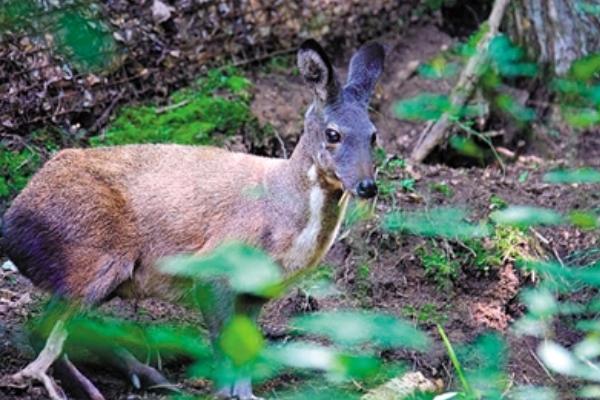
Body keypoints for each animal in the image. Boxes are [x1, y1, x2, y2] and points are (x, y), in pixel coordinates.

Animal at [1, 38, 384, 400]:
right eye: (333, 133)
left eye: (373, 134)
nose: (367, 186)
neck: (281, 219)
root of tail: (11, 223)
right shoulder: (214, 266)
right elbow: (221, 344)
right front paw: (223, 392)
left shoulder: (257, 289)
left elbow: (247, 350)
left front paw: (247, 394)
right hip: (96, 255)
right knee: (42, 330)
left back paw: (147, 375)